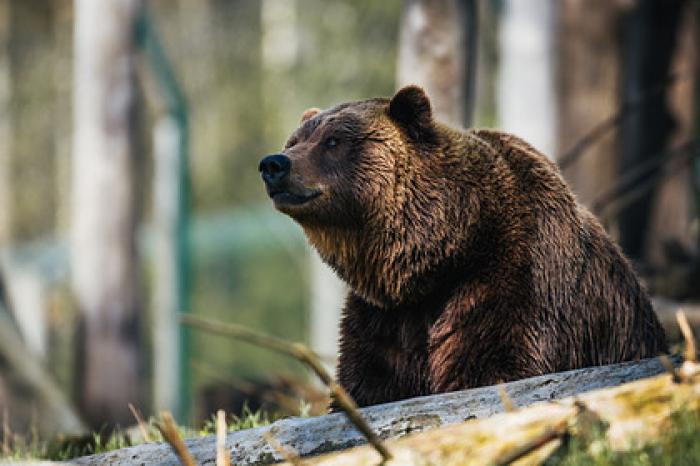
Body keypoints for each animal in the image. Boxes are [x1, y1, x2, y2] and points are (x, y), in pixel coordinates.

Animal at [258, 84, 668, 408]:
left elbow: (492, 365)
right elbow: (368, 382)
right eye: (294, 141)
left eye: (333, 141)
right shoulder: (385, 317)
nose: (274, 164)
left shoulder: (513, 279)